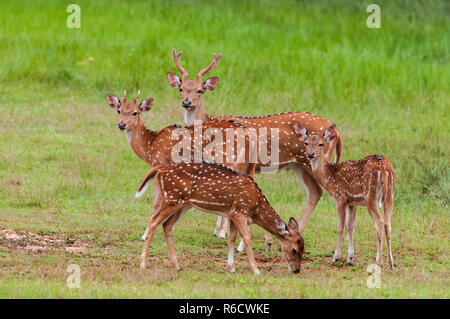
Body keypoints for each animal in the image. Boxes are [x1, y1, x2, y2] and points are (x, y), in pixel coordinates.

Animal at [106, 90, 274, 250]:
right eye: (119, 110)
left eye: (135, 112)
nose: (121, 124)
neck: (150, 146)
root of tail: (250, 136)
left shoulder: (160, 163)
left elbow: (155, 203)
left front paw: (144, 235)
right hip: (249, 167)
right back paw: (263, 243)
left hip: (233, 162)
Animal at [136, 162, 306, 276]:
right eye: (294, 250)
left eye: (303, 249)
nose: (297, 270)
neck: (256, 207)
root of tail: (159, 169)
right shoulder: (240, 211)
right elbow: (247, 238)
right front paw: (256, 270)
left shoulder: (231, 214)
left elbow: (231, 238)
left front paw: (231, 268)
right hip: (172, 198)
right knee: (154, 222)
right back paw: (143, 263)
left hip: (184, 204)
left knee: (167, 225)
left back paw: (176, 265)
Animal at [169, 49, 344, 238]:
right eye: (181, 89)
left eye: (200, 90)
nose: (186, 102)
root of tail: (338, 132)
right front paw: (220, 229)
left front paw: (221, 232)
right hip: (299, 165)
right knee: (315, 192)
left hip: (315, 160)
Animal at [294, 122, 396, 268]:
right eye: (306, 143)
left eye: (321, 144)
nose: (311, 154)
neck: (328, 177)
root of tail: (384, 168)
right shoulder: (352, 202)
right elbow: (350, 226)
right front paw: (350, 258)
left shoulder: (340, 198)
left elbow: (340, 227)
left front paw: (336, 257)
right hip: (390, 196)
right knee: (388, 224)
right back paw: (391, 262)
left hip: (370, 197)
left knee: (380, 222)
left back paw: (378, 261)